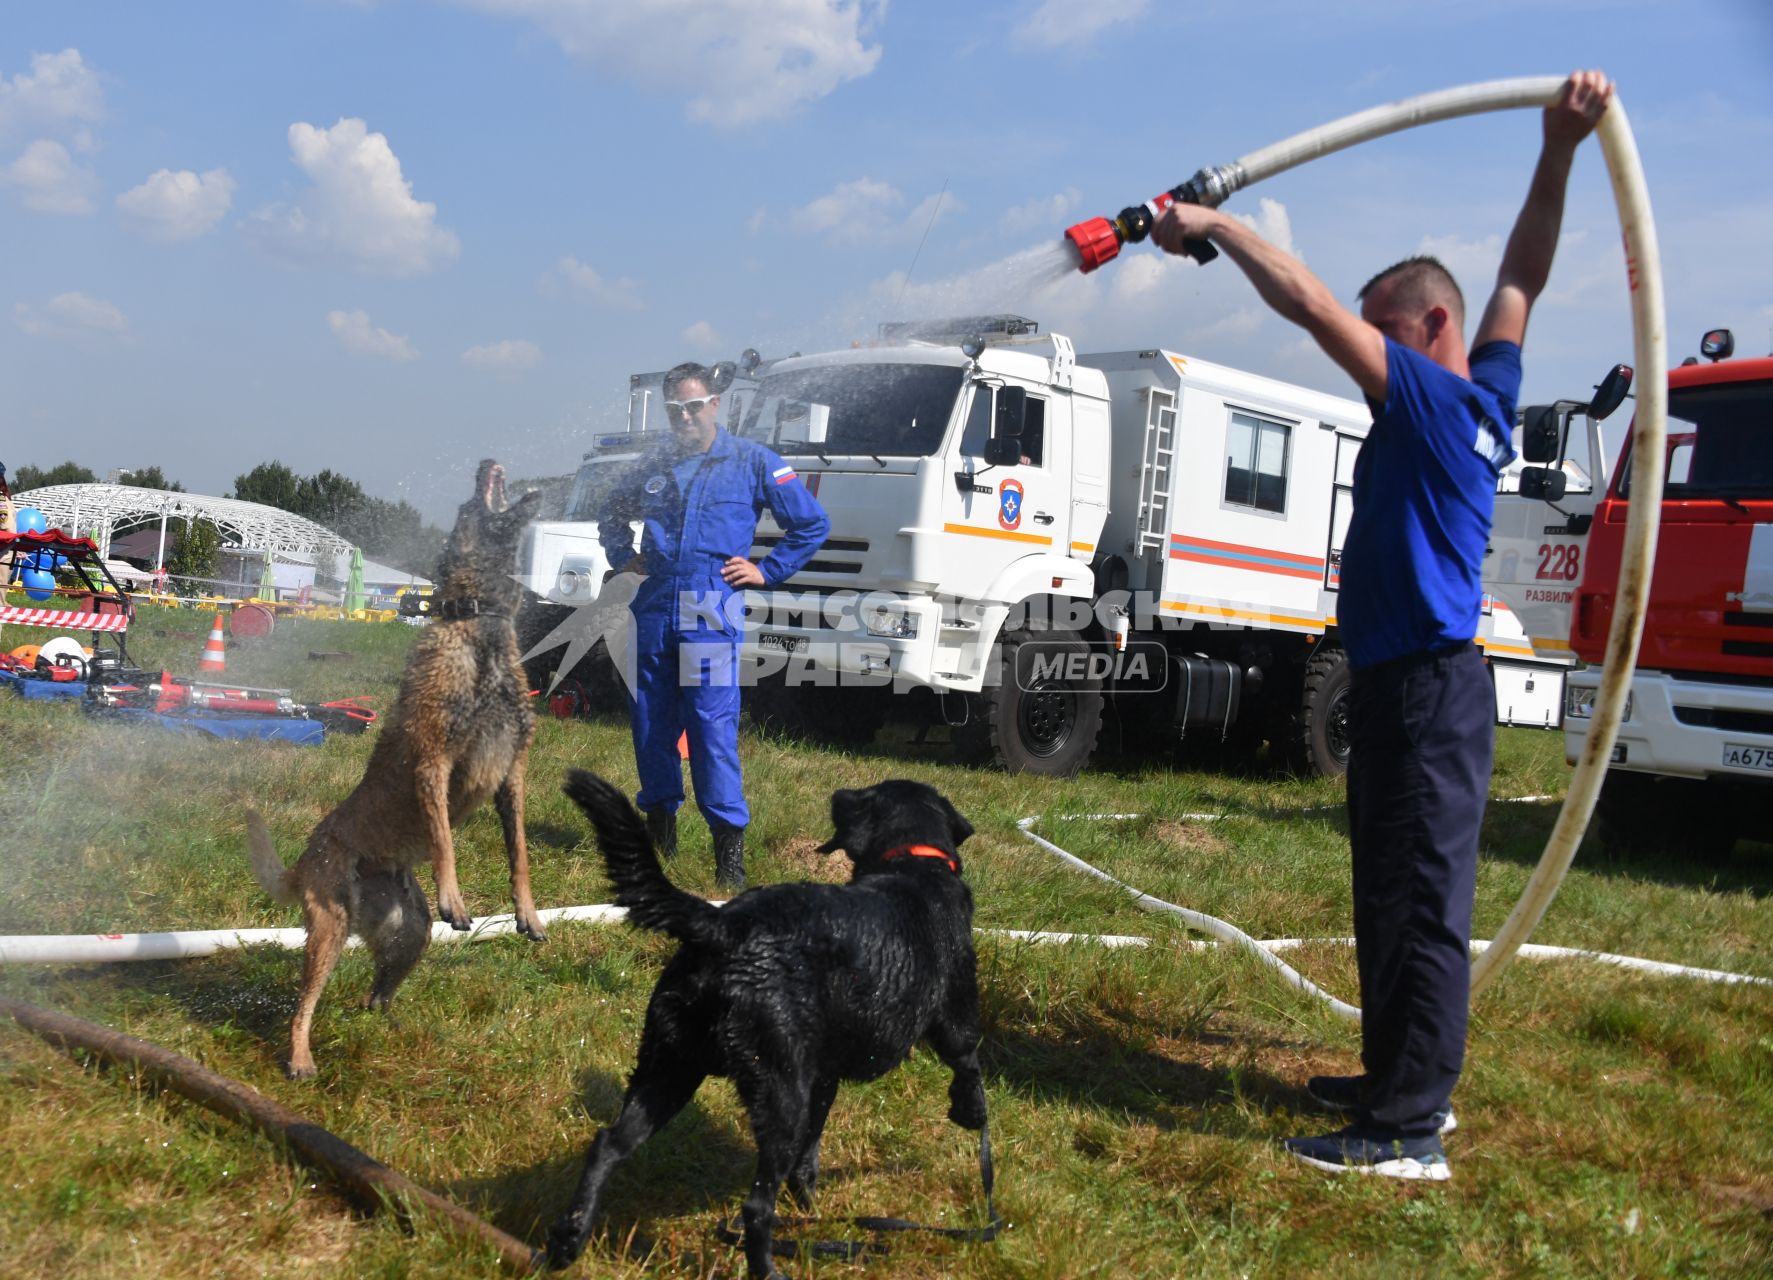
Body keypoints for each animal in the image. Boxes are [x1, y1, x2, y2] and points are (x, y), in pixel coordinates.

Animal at [246, 457, 542, 1077]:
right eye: (466, 505)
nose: (486, 462)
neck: (477, 624)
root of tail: (303, 859)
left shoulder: (513, 775)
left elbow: (521, 851)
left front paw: (527, 912)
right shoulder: (435, 761)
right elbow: (445, 839)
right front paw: (456, 895)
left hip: (411, 934)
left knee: (374, 994)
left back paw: (391, 1027)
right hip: (330, 927)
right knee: (303, 1004)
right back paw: (301, 1058)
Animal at [546, 769, 992, 1276]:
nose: (837, 793)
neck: (912, 863)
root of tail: (725, 926)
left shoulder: (823, 1079)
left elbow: (810, 1154)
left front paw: (810, 1203)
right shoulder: (954, 1017)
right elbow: (969, 1063)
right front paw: (971, 1112)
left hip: (668, 1070)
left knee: (607, 1146)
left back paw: (568, 1240)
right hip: (778, 1093)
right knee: (756, 1207)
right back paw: (769, 1268)